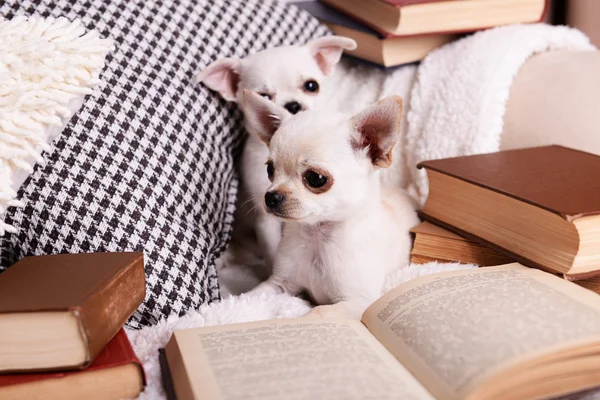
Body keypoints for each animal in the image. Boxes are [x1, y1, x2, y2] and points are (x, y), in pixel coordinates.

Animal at [241, 90, 420, 318]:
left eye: (316, 178)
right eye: (270, 170)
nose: (271, 197)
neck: (318, 238)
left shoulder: (358, 302)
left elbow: (318, 313)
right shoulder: (279, 284)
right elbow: (249, 296)